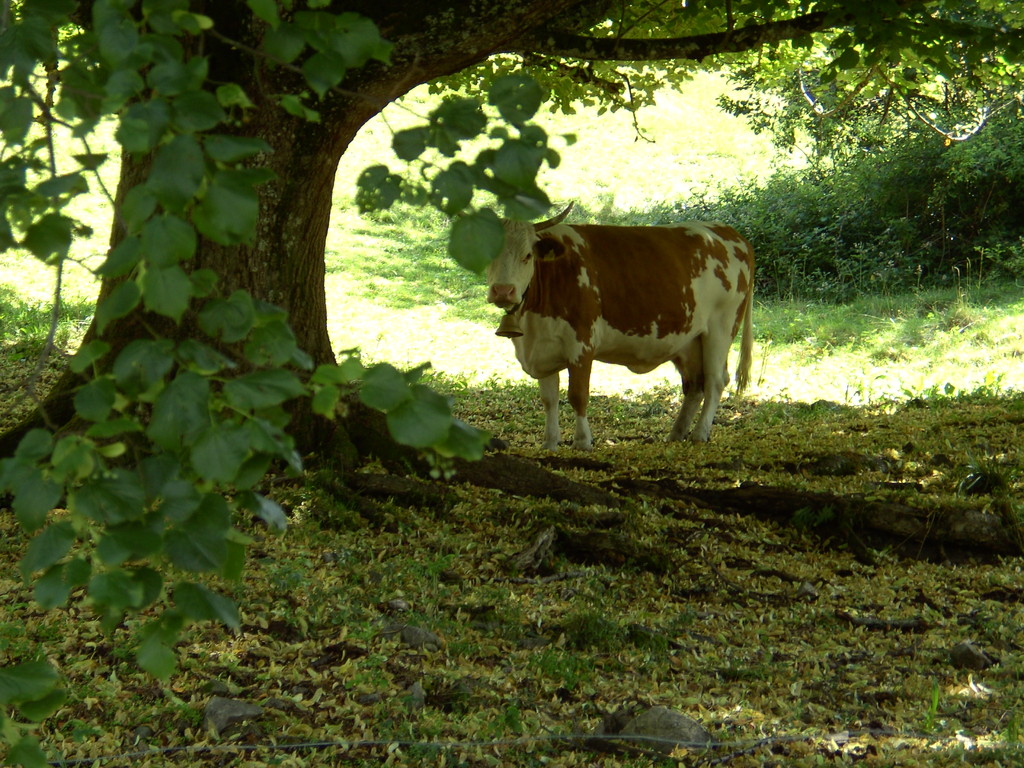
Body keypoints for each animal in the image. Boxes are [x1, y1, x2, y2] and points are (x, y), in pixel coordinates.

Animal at [483, 205, 757, 450]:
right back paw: (677, 433)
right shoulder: (543, 349)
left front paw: (582, 442)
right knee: (695, 384)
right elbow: (549, 399)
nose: (503, 290)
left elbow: (578, 395)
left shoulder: (581, 344)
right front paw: (550, 443)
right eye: (489, 254)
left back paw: (700, 433)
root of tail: (729, 233)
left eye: (527, 256)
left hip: (721, 329)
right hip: (689, 340)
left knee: (715, 381)